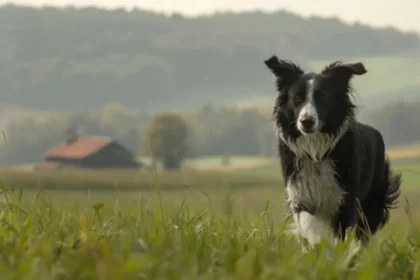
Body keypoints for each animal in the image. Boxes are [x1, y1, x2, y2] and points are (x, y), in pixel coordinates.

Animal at [264, 55, 402, 248]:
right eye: (297, 98)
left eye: (323, 97)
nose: (306, 121)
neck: (316, 151)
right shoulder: (299, 195)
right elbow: (308, 223)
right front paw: (318, 244)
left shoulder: (345, 201)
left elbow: (341, 236)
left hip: (372, 202)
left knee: (362, 234)